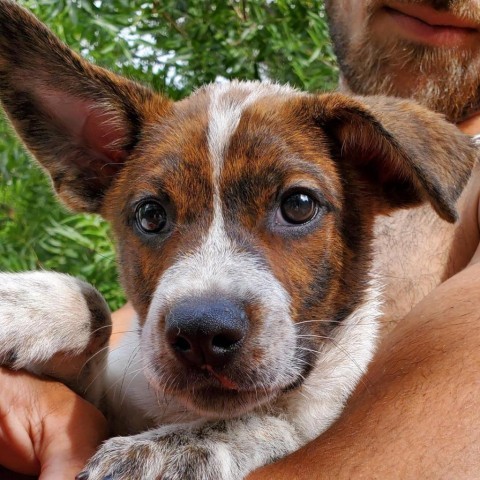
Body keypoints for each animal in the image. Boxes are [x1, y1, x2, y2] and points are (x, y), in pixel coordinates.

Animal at [0, 1, 476, 478]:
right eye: (151, 215)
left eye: (298, 205)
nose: (202, 332)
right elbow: (96, 307)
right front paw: (20, 305)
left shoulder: (307, 413)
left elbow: (274, 423)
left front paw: (175, 448)